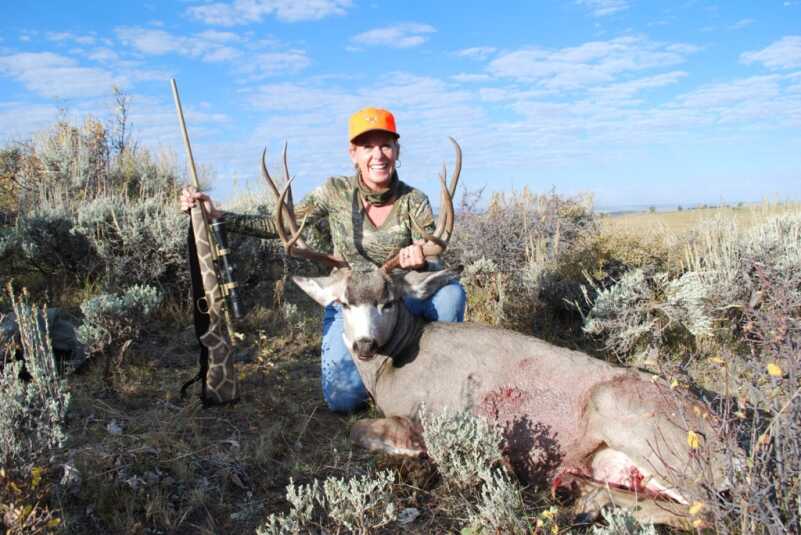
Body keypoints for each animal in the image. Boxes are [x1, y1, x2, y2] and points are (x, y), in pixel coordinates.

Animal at [260, 140, 734, 530]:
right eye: (342, 303)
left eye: (389, 301)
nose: (363, 345)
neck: (397, 363)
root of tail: (729, 444)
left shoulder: (434, 413)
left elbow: (359, 431)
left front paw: (419, 453)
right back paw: (578, 490)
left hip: (641, 429)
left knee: (708, 511)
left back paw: (585, 497)